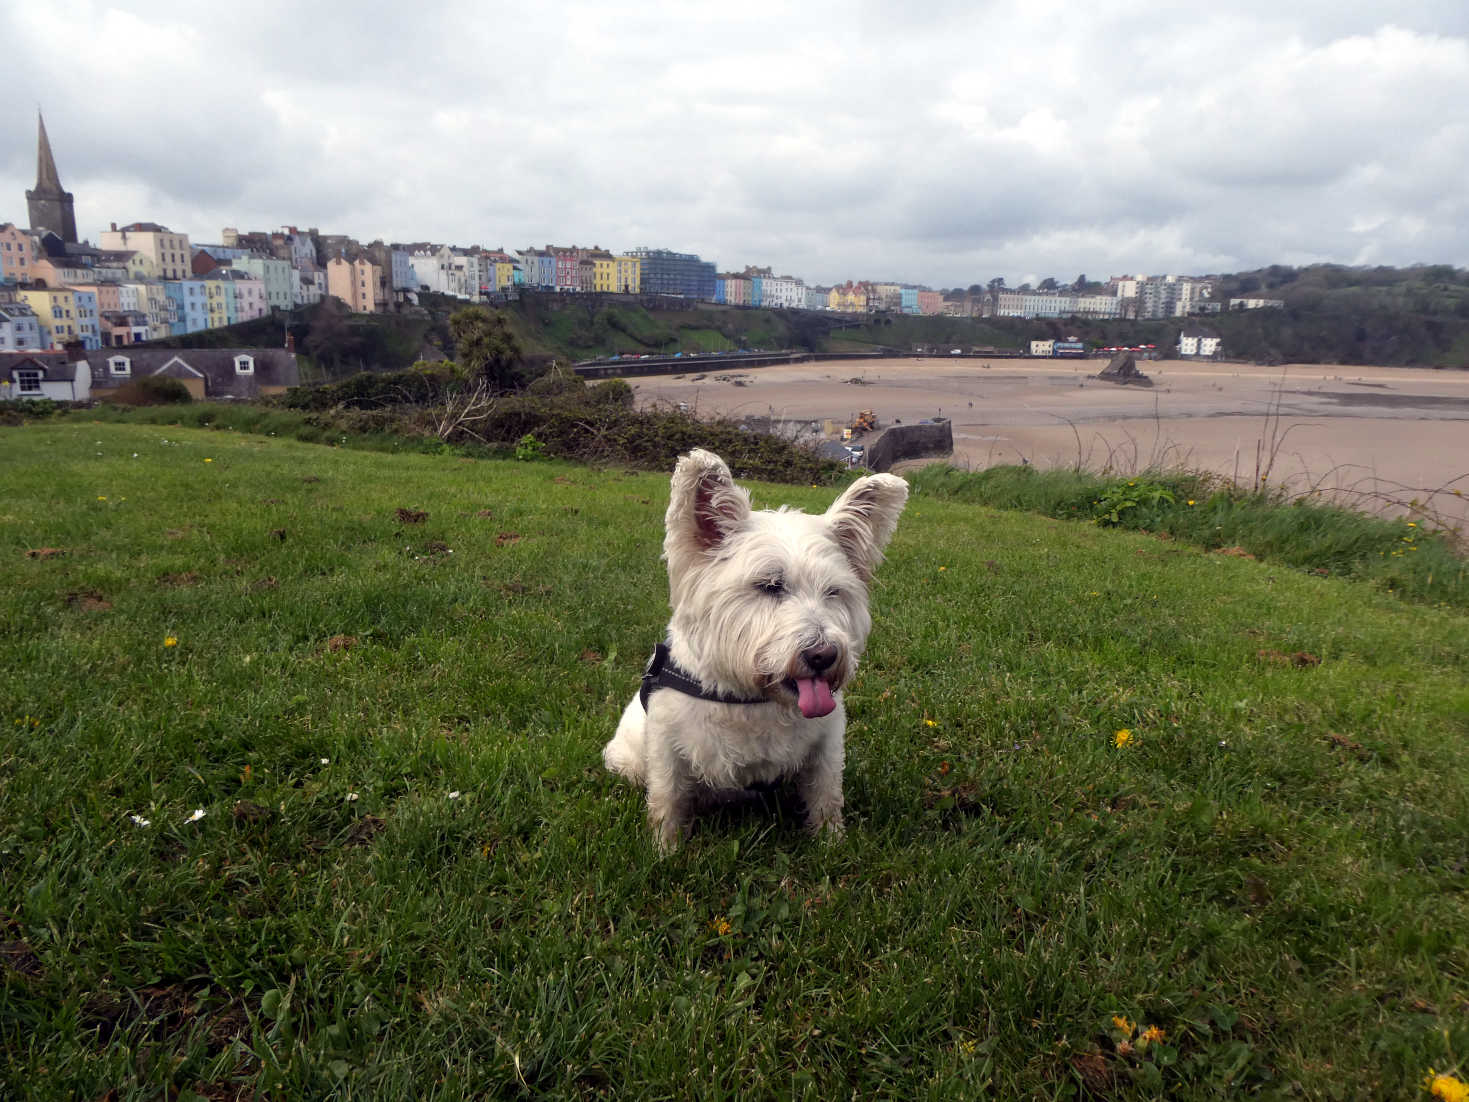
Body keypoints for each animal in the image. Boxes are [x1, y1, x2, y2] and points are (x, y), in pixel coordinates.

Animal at [599, 449, 904, 852]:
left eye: (833, 592)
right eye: (770, 585)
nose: (824, 656)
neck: (752, 697)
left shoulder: (826, 746)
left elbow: (826, 796)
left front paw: (833, 845)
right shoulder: (667, 749)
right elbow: (668, 800)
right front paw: (664, 852)